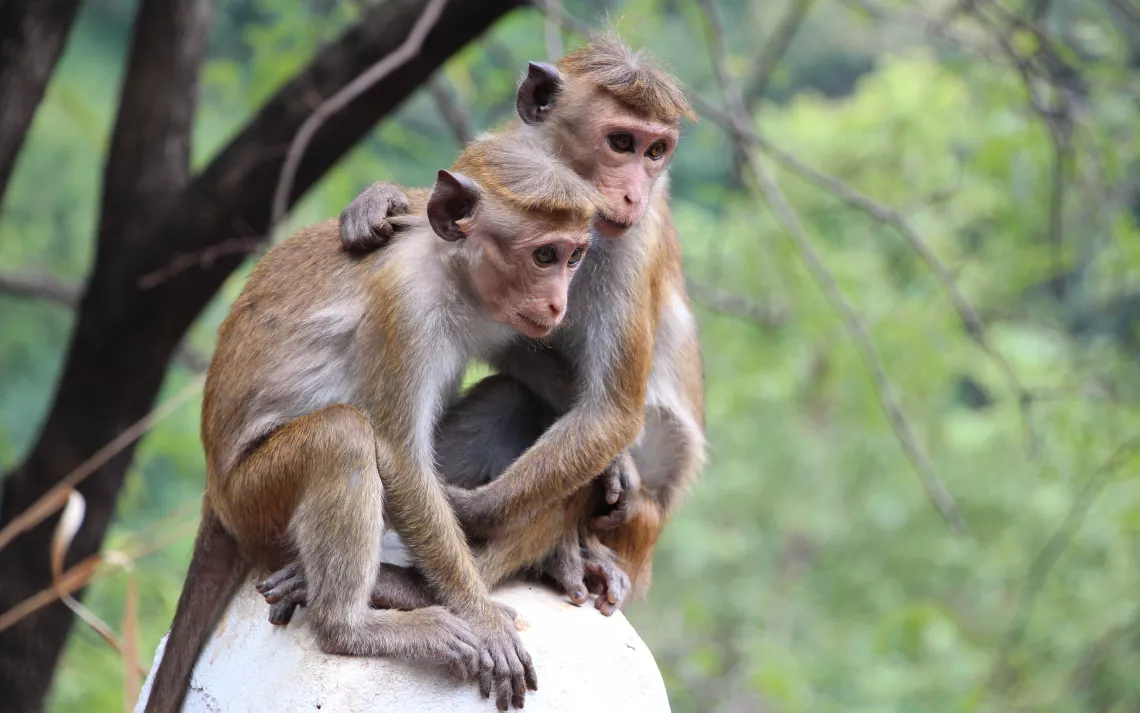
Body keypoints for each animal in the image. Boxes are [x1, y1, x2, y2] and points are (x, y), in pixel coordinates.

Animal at [142, 132, 606, 713]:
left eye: (574, 256)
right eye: (545, 254)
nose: (558, 302)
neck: (447, 267)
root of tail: (215, 491)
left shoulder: (496, 313)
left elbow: (534, 369)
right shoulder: (405, 308)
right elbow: (400, 460)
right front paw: (481, 617)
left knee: (512, 397)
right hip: (253, 502)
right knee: (342, 436)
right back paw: (351, 629)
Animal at [259, 36, 706, 621]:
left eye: (656, 152)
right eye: (621, 142)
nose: (633, 194)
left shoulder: (636, 239)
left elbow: (611, 412)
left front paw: (467, 509)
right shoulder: (500, 158)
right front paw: (375, 204)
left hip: (639, 528)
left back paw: (416, 585)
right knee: (515, 397)